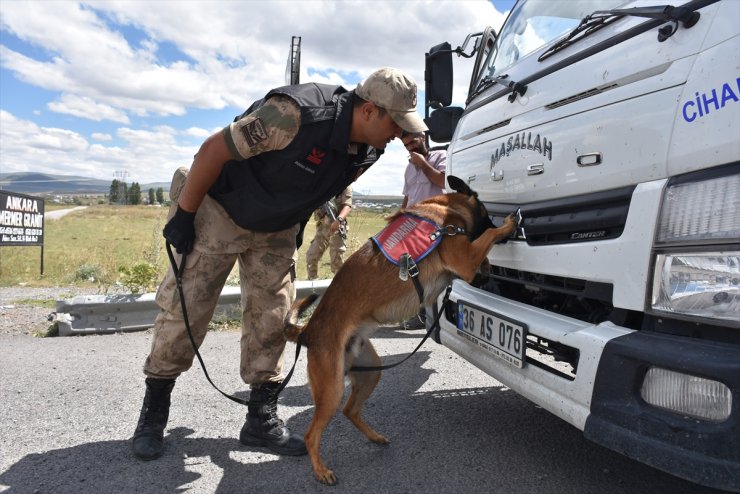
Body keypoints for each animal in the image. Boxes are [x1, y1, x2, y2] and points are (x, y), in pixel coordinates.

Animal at [284, 176, 516, 484]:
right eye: (488, 213)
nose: (504, 227)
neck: (443, 210)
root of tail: (308, 330)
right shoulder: (464, 259)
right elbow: (485, 238)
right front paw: (506, 226)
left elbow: (481, 247)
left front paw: (488, 263)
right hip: (332, 388)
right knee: (313, 433)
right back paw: (321, 470)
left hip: (371, 373)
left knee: (350, 410)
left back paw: (374, 437)